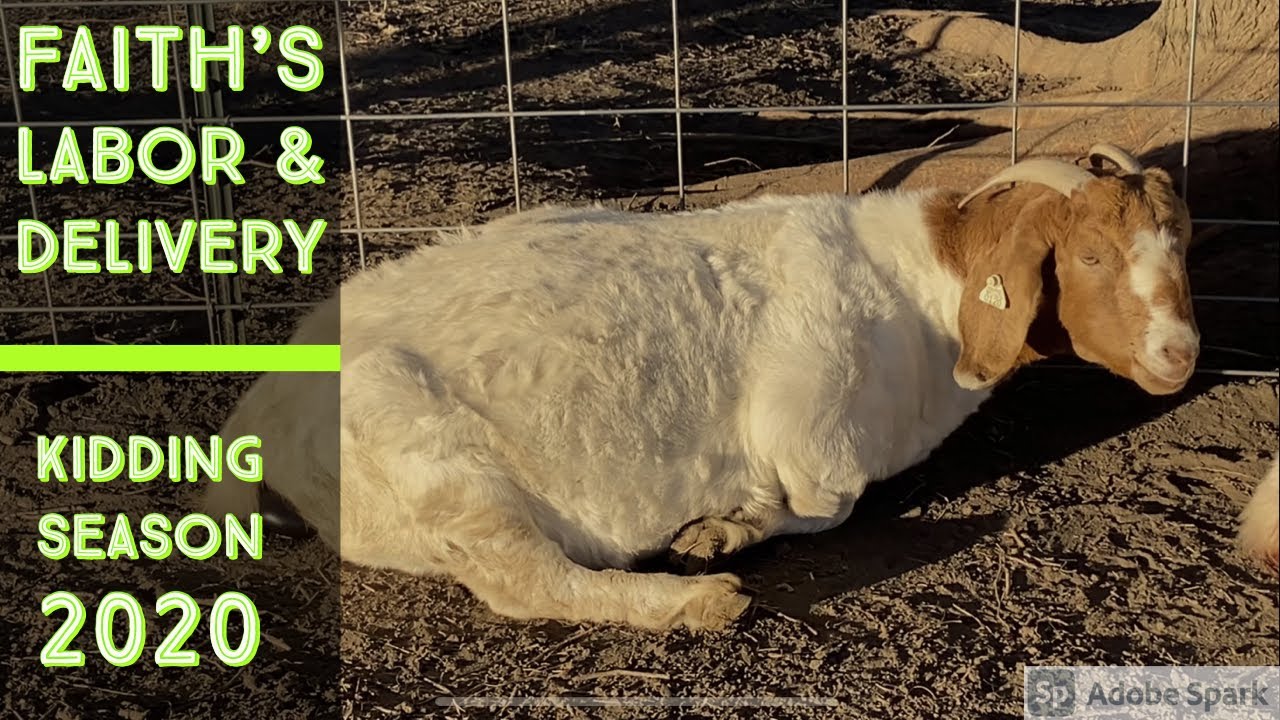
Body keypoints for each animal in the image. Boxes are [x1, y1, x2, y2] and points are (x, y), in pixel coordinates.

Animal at [205, 143, 1200, 630]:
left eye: (1181, 242)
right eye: (1092, 254)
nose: (1181, 352)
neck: (916, 291)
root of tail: (260, 406)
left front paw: (718, 526)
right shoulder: (810, 433)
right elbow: (825, 501)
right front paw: (717, 536)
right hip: (436, 464)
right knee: (523, 580)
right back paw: (693, 604)